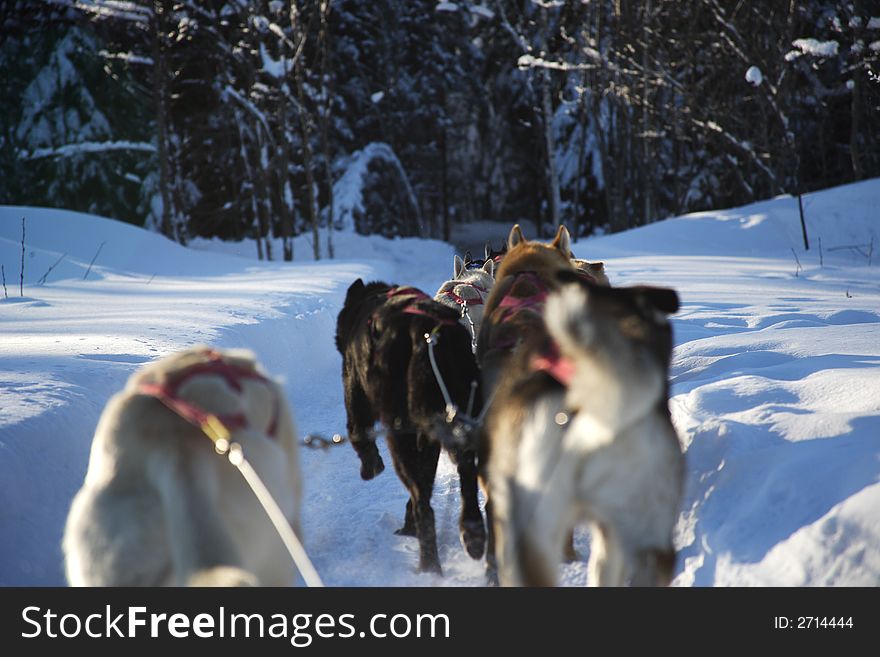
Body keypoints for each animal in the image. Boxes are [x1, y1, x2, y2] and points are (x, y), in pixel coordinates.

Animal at [336, 278, 488, 576]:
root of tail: (428, 334)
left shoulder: (354, 390)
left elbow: (358, 433)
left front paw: (370, 465)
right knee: (465, 474)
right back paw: (472, 532)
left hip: (400, 432)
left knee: (422, 503)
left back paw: (428, 562)